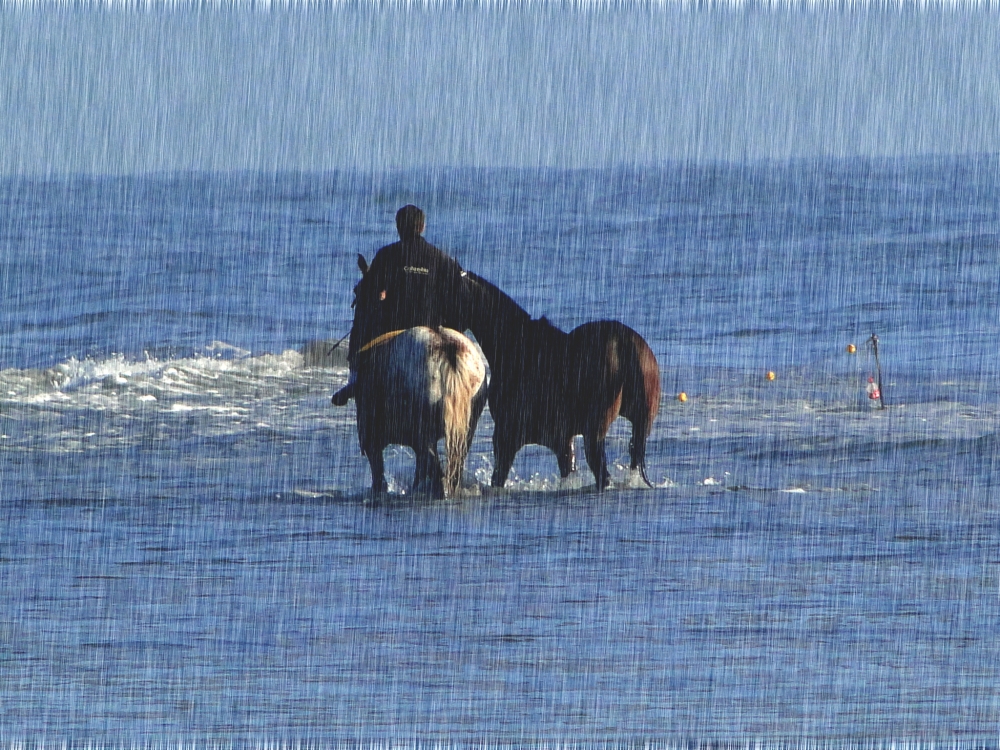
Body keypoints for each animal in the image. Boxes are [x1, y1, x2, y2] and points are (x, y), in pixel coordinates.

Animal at [348, 328, 488, 500]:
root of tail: (445, 346)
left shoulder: (371, 439)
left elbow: (379, 473)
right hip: (466, 428)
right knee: (451, 467)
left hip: (423, 432)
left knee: (435, 469)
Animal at [458, 274, 660, 490]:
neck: (517, 344)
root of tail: (624, 343)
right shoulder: (562, 441)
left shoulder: (506, 438)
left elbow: (497, 478)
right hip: (639, 426)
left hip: (594, 433)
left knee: (602, 473)